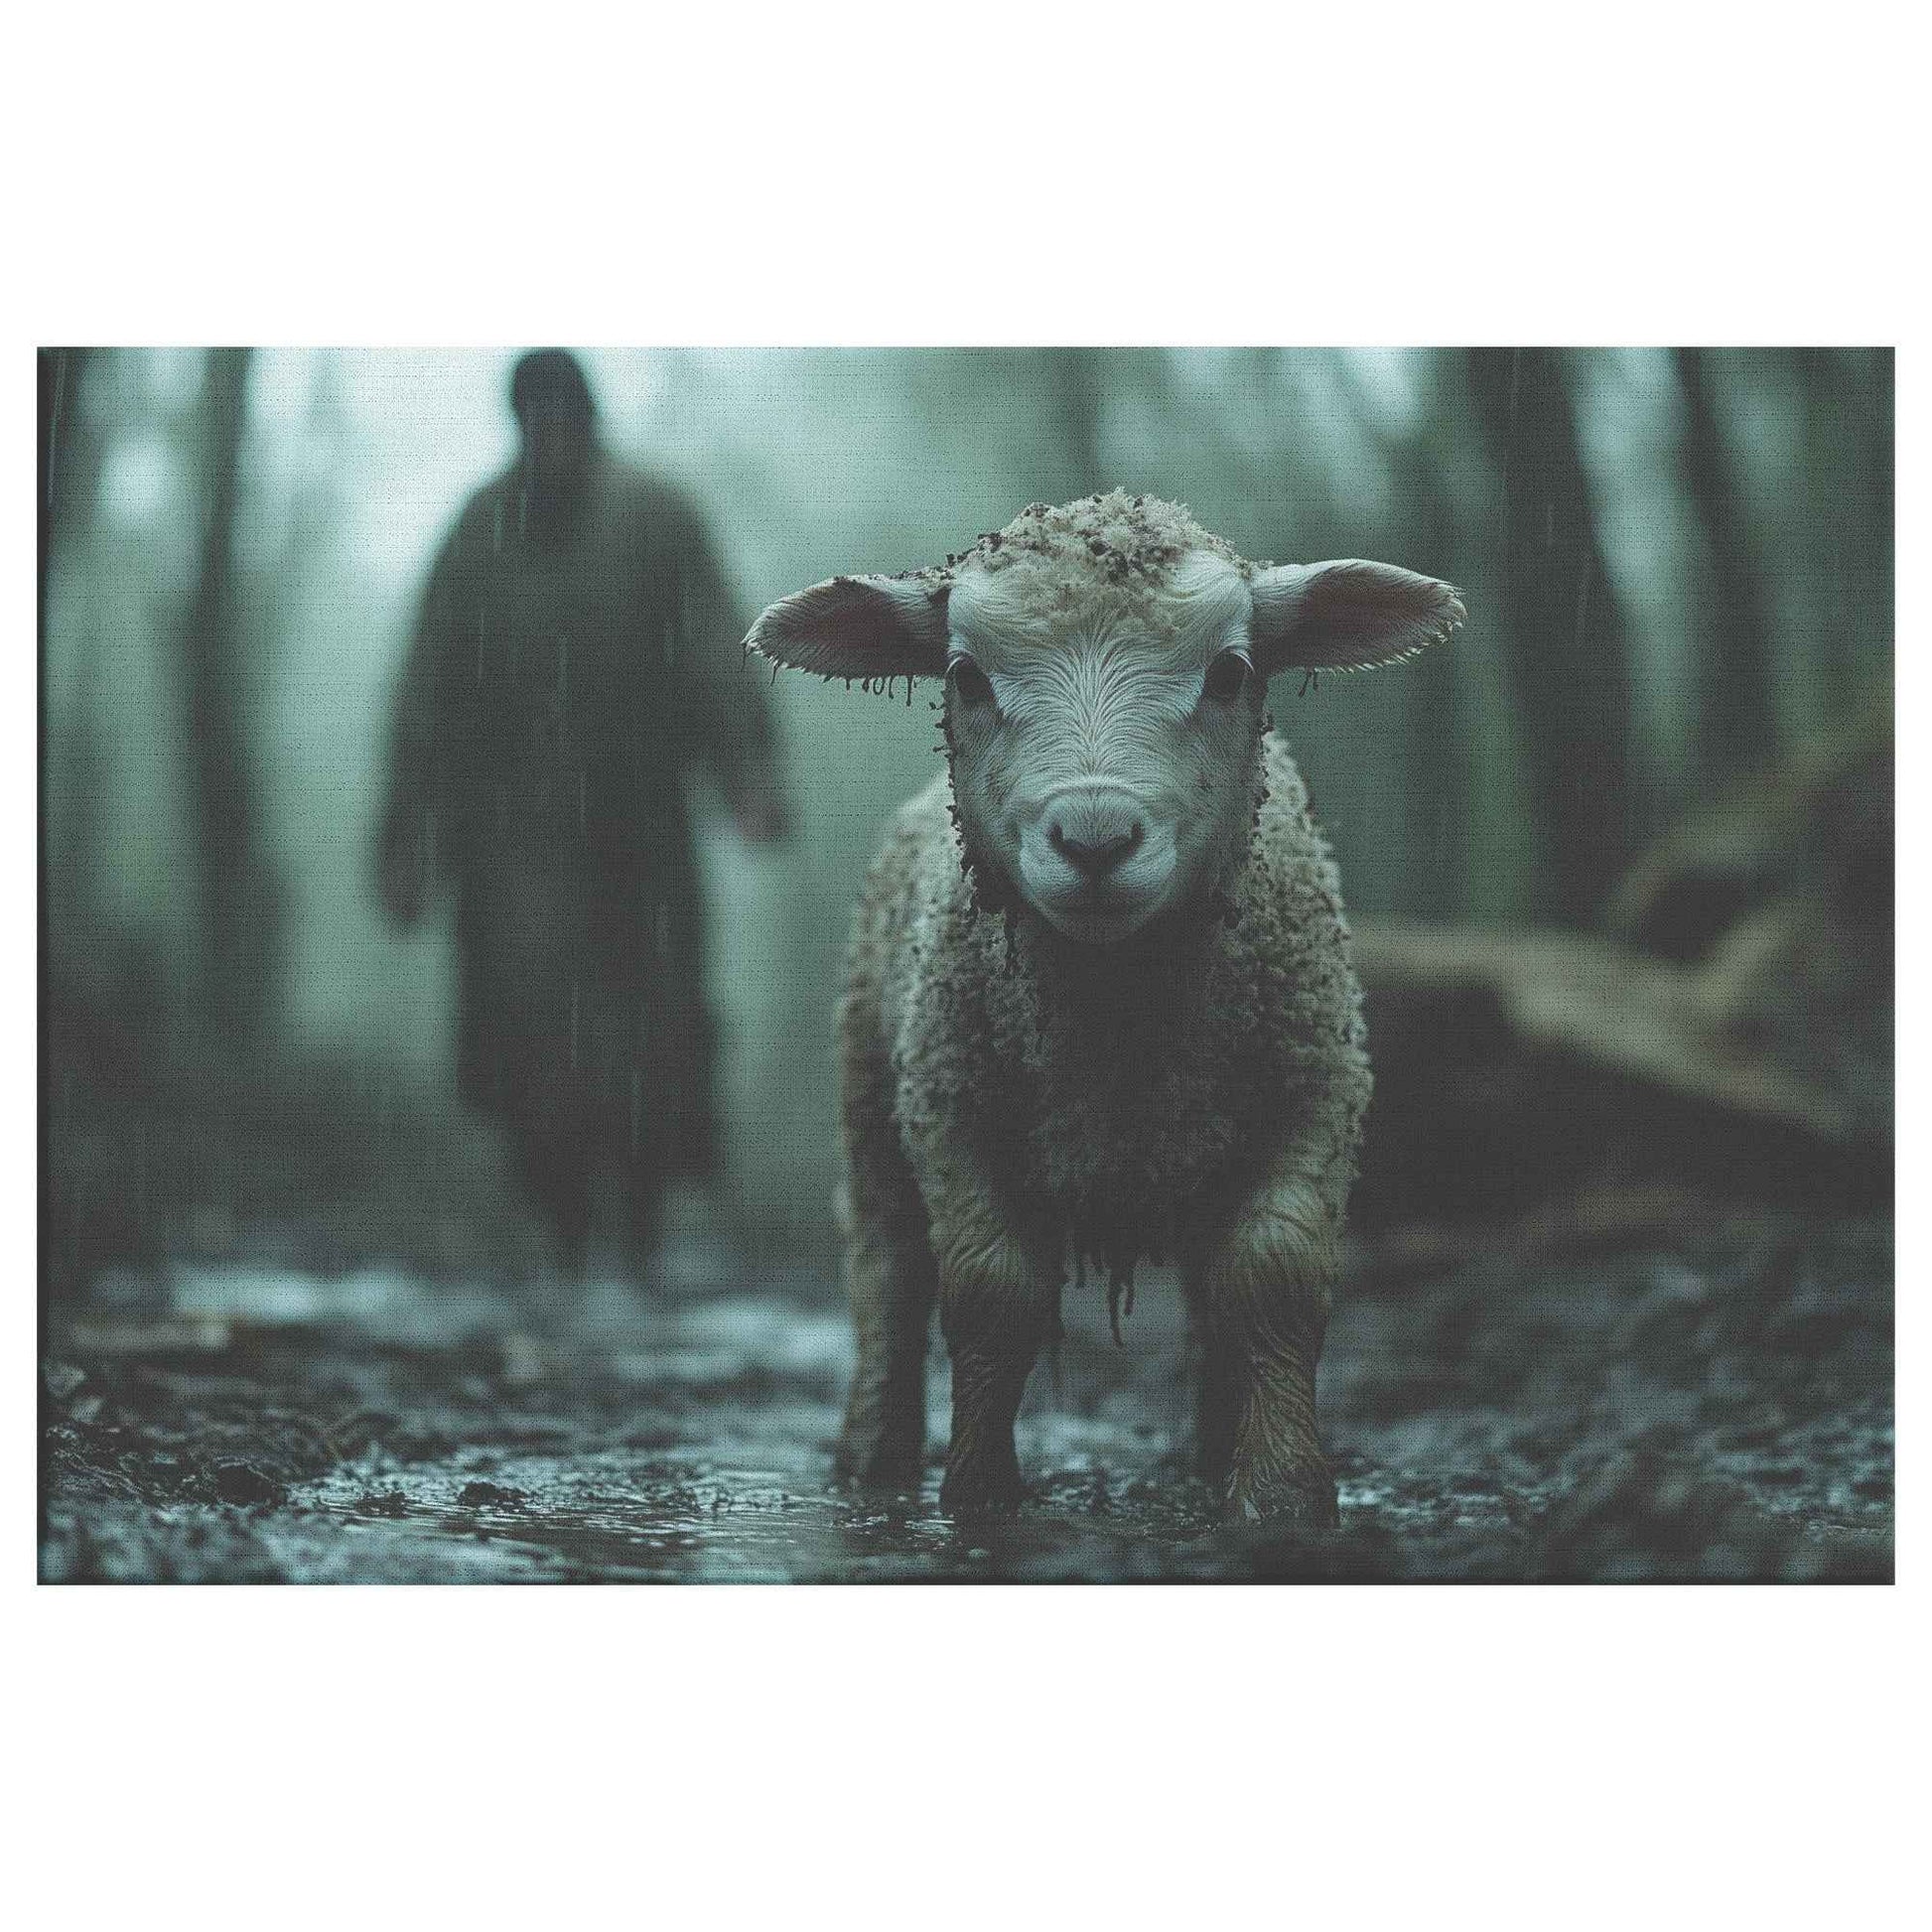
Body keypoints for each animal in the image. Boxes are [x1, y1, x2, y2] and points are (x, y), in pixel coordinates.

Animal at [747, 491, 1463, 1523]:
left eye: (1231, 672)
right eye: (964, 677)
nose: (1093, 839)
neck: (1117, 1018)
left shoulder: (1313, 1099)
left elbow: (1271, 1282)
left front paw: (1282, 1493)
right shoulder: (954, 1114)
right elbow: (990, 1295)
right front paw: (977, 1496)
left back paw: (1213, 1450)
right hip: (871, 1105)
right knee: (886, 1270)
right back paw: (874, 1457)